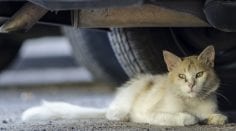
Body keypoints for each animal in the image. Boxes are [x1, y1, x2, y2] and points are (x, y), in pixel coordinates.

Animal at [21, 45, 227, 126]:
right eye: (182, 76)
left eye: (199, 75)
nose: (191, 84)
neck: (192, 102)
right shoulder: (151, 113)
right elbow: (184, 117)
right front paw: (192, 118)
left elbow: (218, 116)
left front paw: (215, 118)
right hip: (129, 99)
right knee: (111, 113)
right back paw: (122, 115)